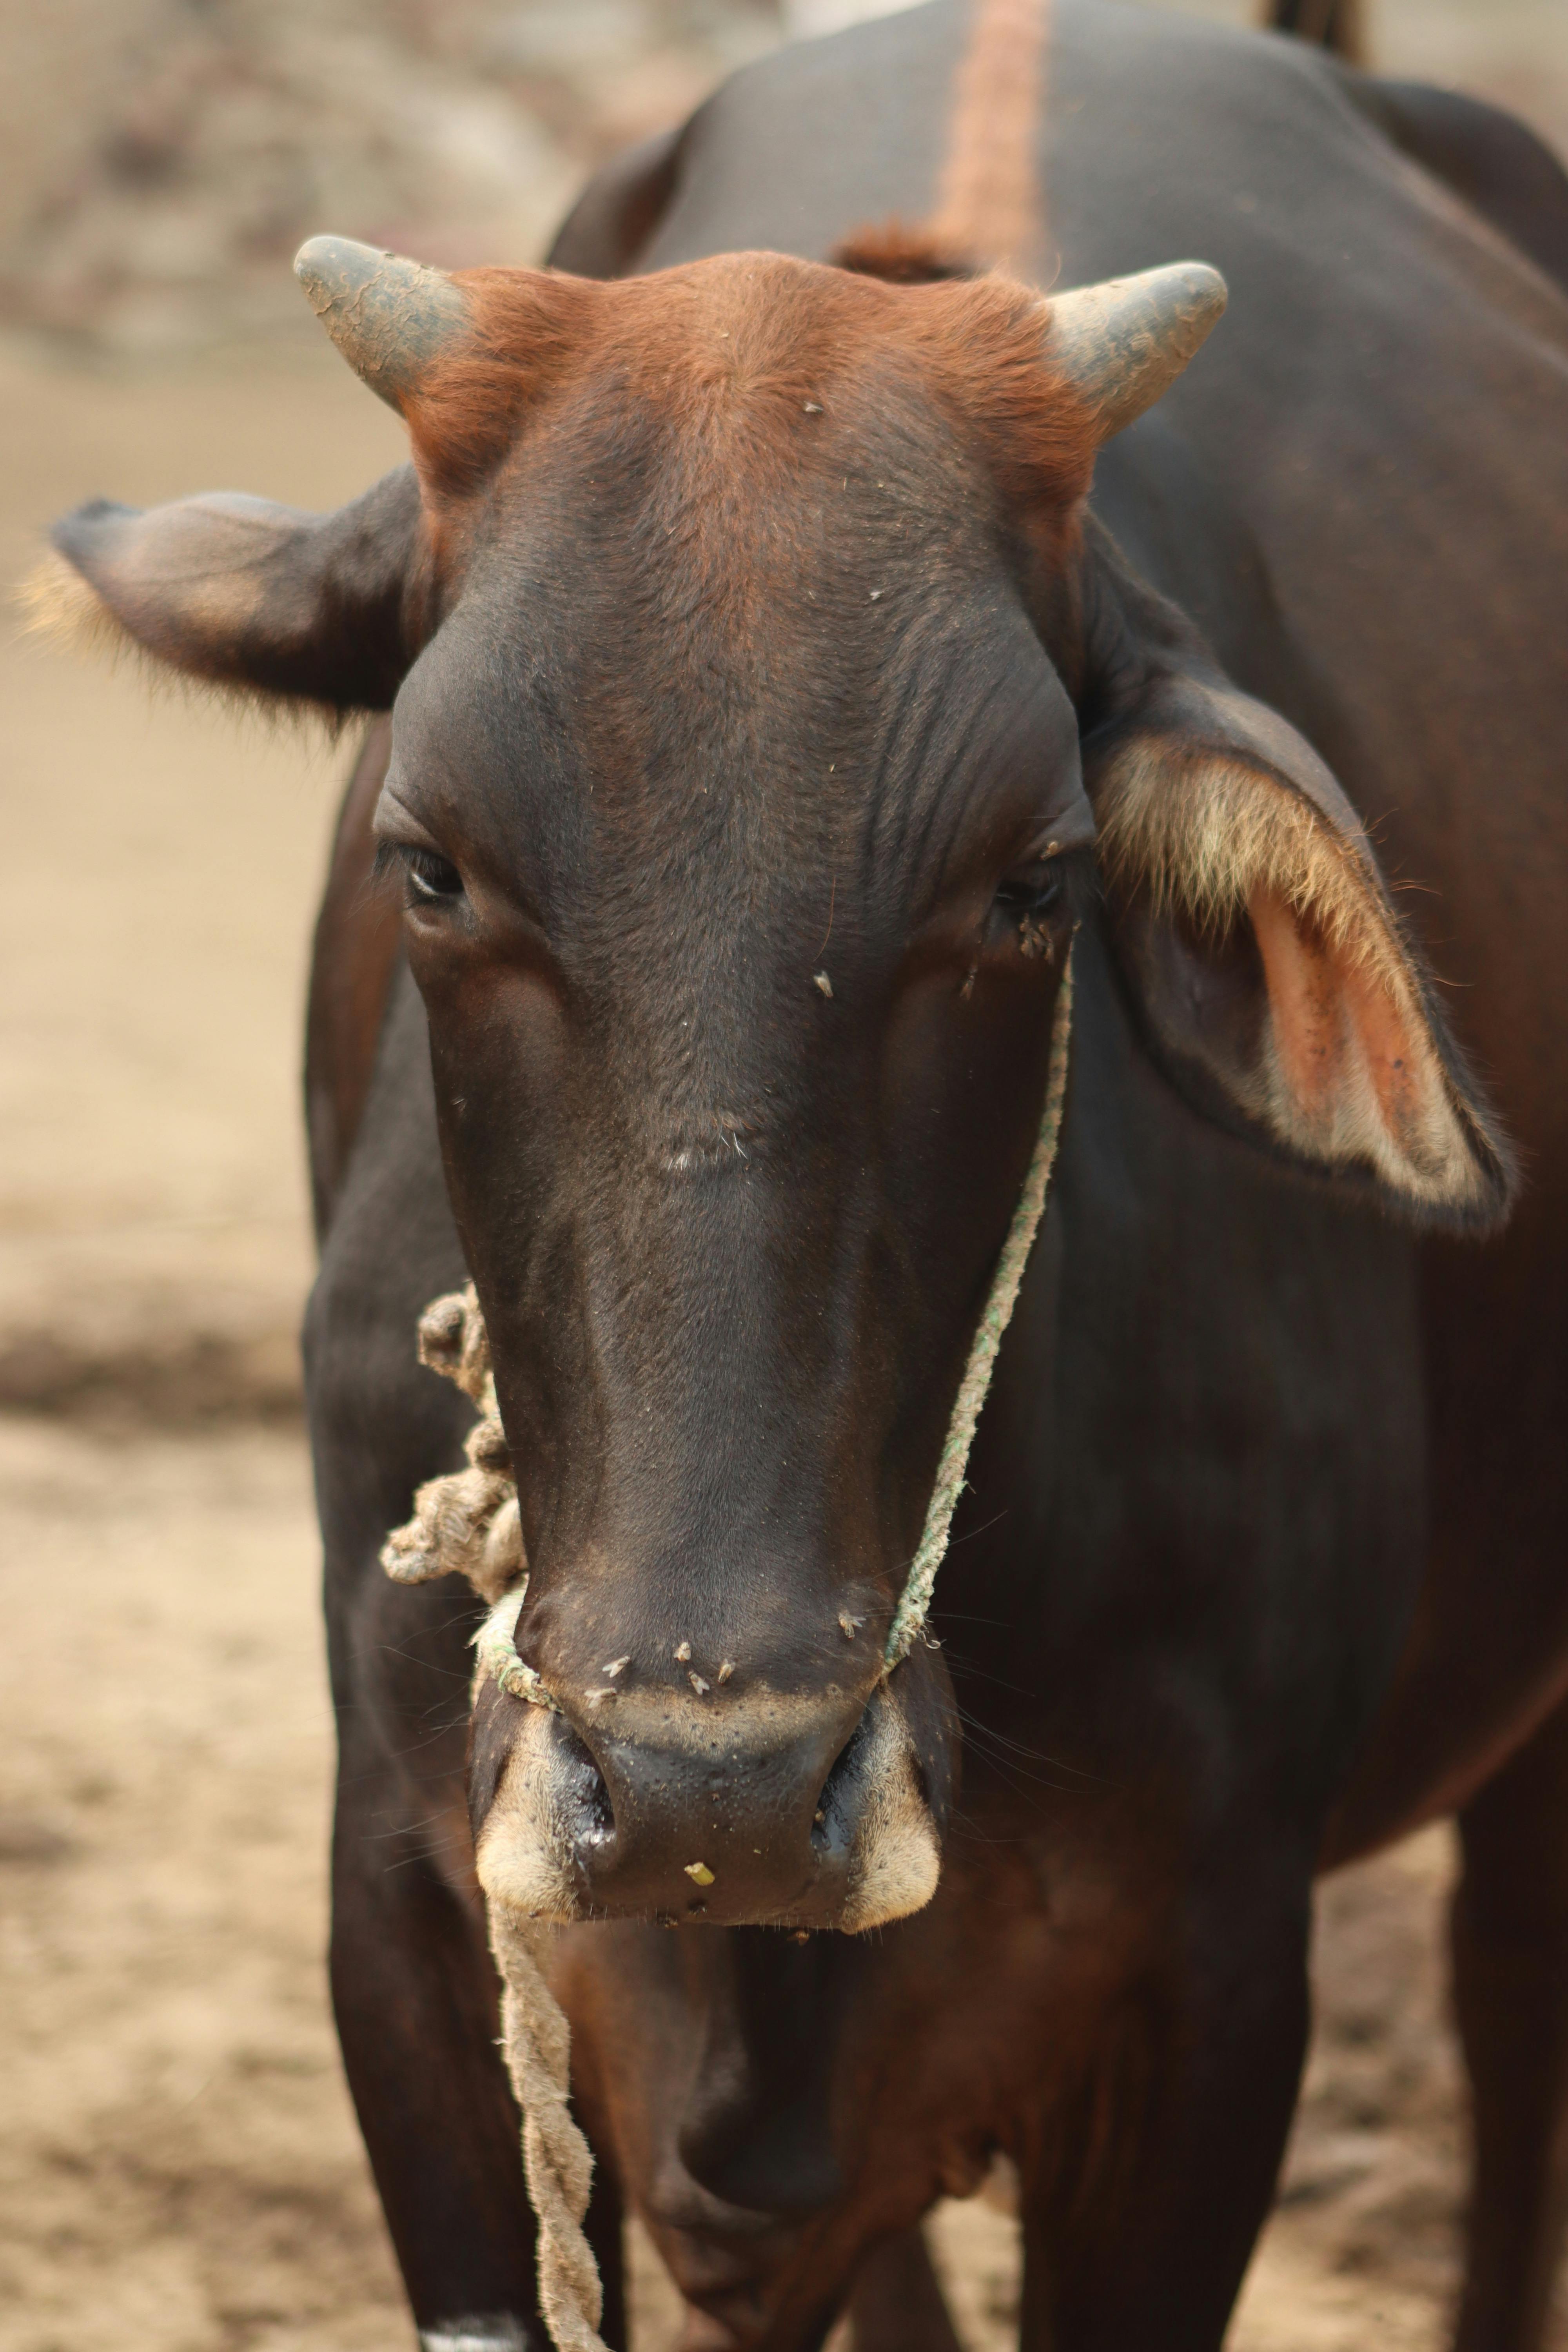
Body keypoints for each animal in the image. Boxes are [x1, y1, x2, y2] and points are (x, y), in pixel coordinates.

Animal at [34, 0, 1568, 2343]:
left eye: (1034, 883)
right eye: (428, 865)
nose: (712, 1785)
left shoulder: (1208, 1995)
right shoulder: (407, 1924)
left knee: (1508, 2002)